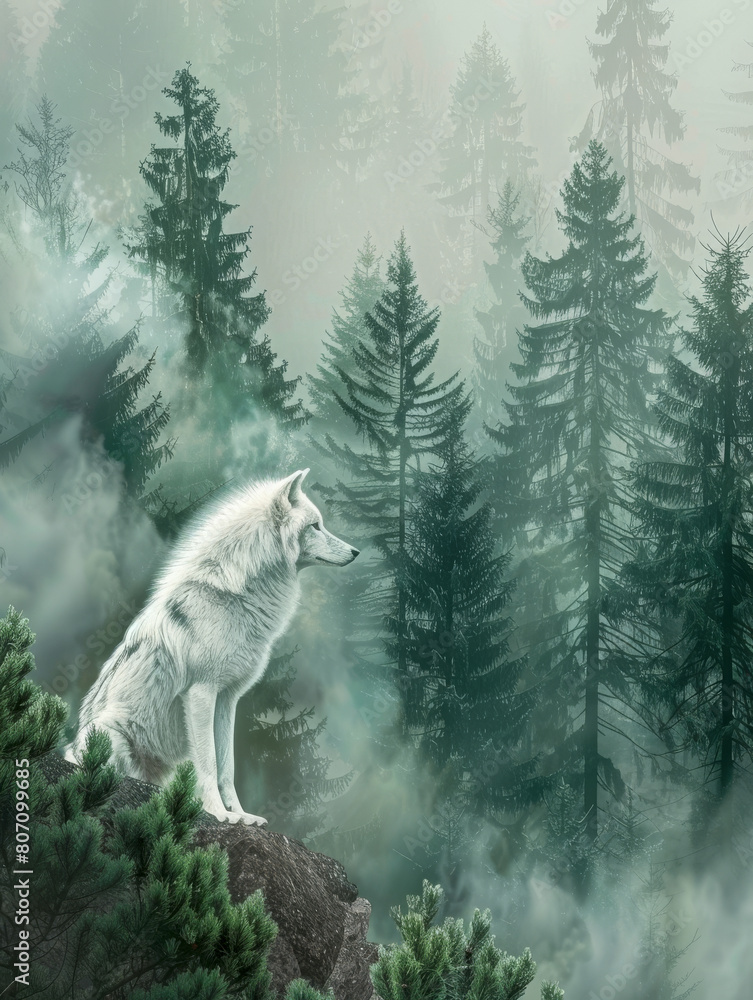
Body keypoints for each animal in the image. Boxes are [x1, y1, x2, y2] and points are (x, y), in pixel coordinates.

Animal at [64, 469, 358, 826]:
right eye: (315, 526)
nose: (357, 552)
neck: (237, 597)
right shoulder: (201, 693)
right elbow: (208, 763)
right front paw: (219, 814)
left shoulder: (228, 699)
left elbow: (226, 766)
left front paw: (242, 815)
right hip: (110, 736)